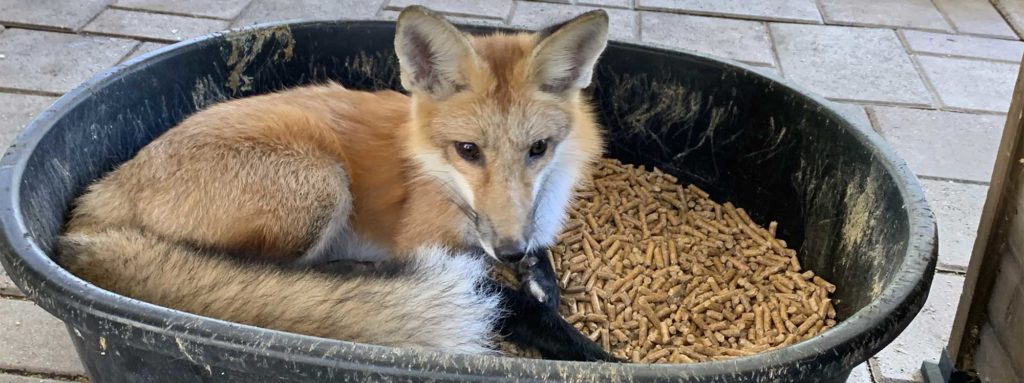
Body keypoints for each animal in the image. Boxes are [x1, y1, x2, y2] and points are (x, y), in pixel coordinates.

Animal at [58, 6, 606, 362]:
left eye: (538, 149)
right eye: (468, 150)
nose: (509, 250)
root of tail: (103, 193)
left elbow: (542, 278)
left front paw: (541, 283)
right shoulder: (427, 242)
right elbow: (521, 307)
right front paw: (589, 352)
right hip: (321, 185)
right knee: (256, 276)